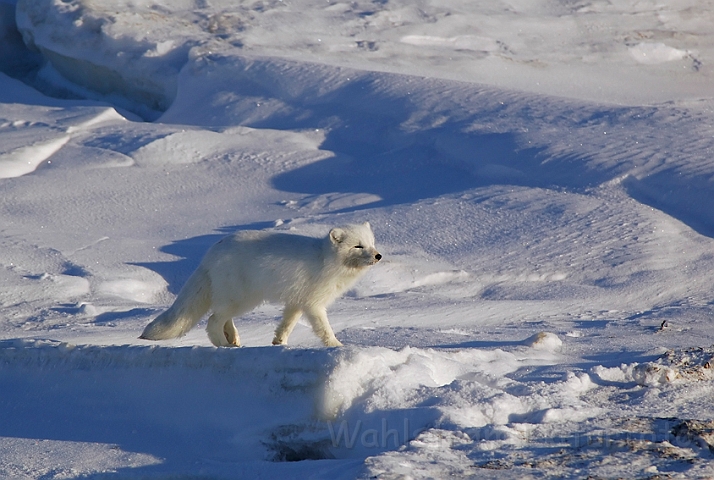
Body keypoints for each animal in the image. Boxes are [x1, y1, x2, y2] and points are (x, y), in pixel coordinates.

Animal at [141, 223, 382, 346]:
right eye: (358, 246)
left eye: (371, 243)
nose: (378, 256)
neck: (326, 260)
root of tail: (210, 253)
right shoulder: (313, 304)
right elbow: (324, 329)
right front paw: (337, 346)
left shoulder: (297, 301)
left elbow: (287, 324)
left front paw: (279, 342)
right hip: (242, 299)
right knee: (212, 321)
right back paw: (224, 345)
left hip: (236, 299)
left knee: (222, 317)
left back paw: (233, 339)